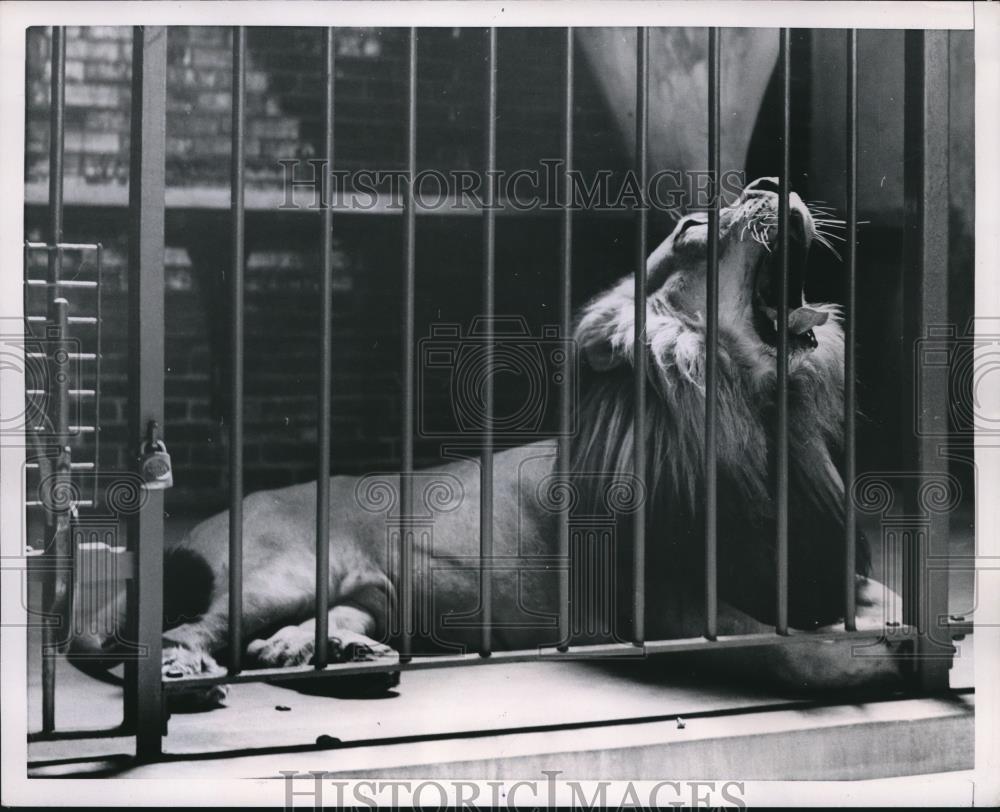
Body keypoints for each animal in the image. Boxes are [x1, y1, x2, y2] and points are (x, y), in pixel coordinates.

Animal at [66, 178, 904, 704]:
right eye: (692, 231)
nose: (771, 182)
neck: (756, 414)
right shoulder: (654, 607)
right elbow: (783, 649)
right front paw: (869, 656)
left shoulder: (827, 566)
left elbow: (883, 600)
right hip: (273, 574)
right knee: (167, 634)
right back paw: (189, 677)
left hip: (373, 595)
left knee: (306, 630)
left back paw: (337, 658)